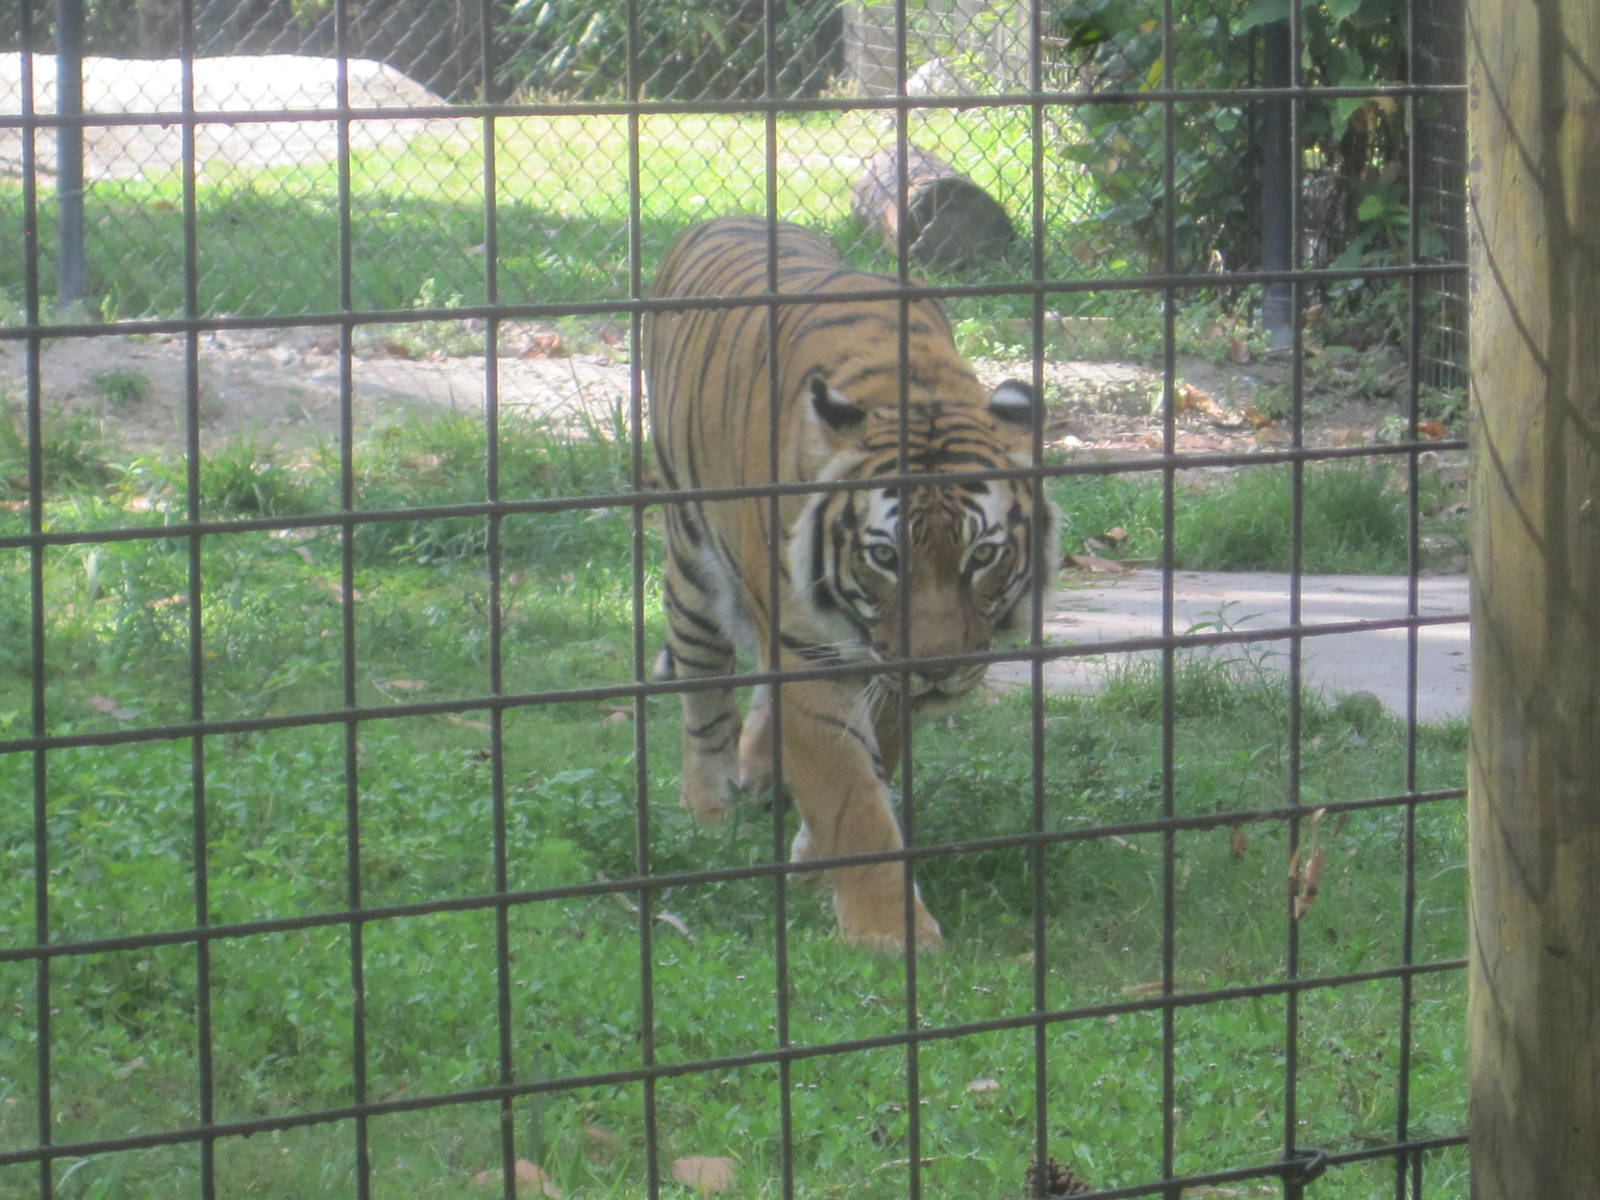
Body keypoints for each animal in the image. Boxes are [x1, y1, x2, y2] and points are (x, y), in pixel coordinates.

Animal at [643, 215, 1059, 952]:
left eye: (982, 555)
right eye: (885, 556)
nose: (938, 671)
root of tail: (722, 218)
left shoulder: (883, 668)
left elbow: (870, 765)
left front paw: (813, 865)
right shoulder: (810, 653)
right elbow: (850, 798)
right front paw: (889, 936)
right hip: (690, 560)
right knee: (703, 689)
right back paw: (710, 809)